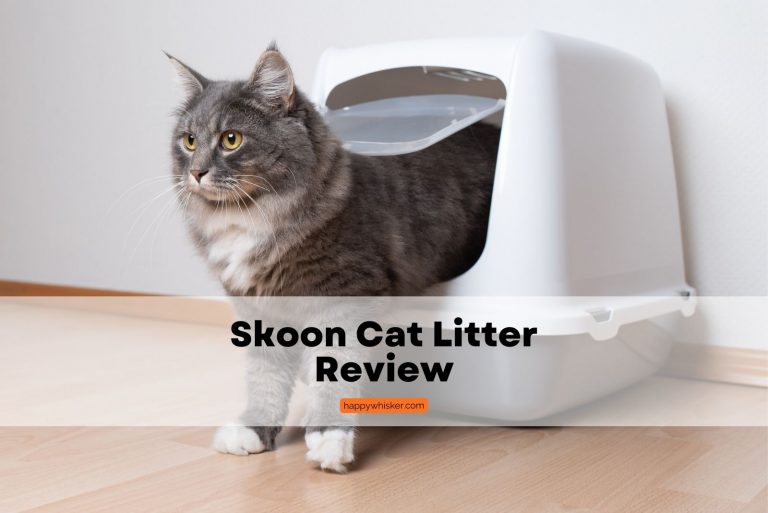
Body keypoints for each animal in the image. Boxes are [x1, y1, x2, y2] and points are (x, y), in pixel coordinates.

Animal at [166, 45, 498, 472]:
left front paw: (328, 439)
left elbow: (335, 374)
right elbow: (264, 378)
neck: (250, 216)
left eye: (231, 139)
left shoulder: (343, 298)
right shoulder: (259, 309)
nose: (196, 172)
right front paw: (255, 430)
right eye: (189, 141)